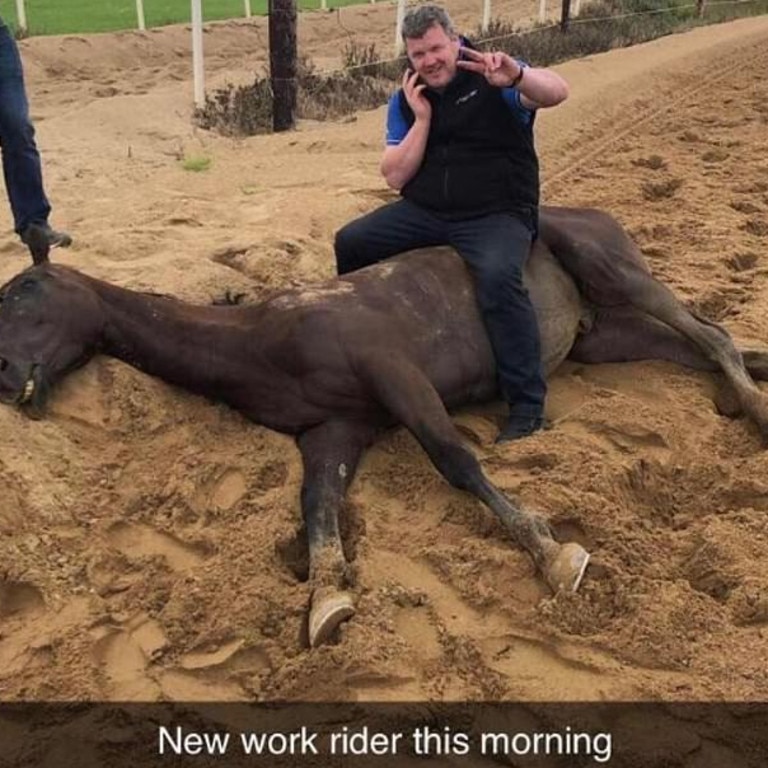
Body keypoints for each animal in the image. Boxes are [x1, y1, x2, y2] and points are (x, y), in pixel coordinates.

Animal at [1, 206, 768, 648]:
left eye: (26, 291)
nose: (6, 374)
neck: (262, 339)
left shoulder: (396, 373)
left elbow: (457, 461)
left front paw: (552, 555)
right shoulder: (334, 430)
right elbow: (317, 508)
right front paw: (328, 598)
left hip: (613, 271)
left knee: (711, 333)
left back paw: (755, 413)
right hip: (603, 336)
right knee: (709, 345)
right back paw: (745, 396)